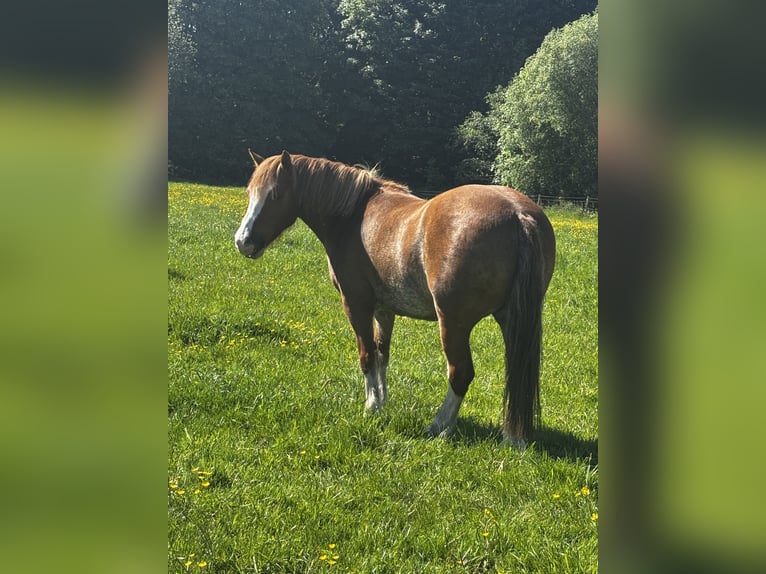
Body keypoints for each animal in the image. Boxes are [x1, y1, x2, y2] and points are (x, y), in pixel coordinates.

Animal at [235, 151, 556, 447]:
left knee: (460, 373)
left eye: (275, 193)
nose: (242, 241)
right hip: (512, 319)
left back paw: (440, 426)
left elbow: (366, 355)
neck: (352, 215)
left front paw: (370, 406)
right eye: (250, 192)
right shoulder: (384, 310)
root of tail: (517, 213)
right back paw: (512, 437)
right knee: (516, 375)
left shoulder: (356, 305)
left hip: (453, 324)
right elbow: (382, 354)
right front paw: (382, 400)